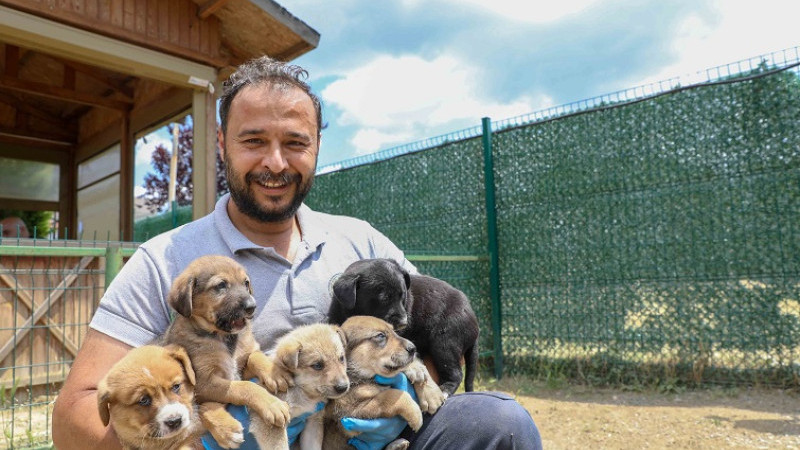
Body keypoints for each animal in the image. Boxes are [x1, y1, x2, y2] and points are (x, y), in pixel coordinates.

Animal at [159, 255, 290, 448]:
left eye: (246, 283)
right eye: (221, 285)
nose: (252, 307)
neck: (223, 337)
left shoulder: (241, 365)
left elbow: (255, 356)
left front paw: (275, 373)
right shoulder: (204, 382)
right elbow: (243, 387)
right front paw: (271, 404)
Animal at [326, 316, 450, 450]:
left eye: (394, 331)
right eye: (380, 335)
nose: (413, 348)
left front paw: (427, 386)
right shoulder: (350, 413)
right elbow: (391, 395)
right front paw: (415, 415)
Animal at [328, 258, 478, 396]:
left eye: (403, 296)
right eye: (383, 299)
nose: (404, 323)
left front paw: (414, 367)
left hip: (445, 341)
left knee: (456, 373)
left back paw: (444, 390)